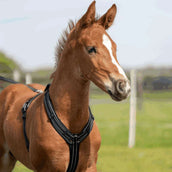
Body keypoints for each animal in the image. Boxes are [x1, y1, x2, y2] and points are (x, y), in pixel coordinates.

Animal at [0, 1, 130, 172]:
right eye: (91, 48)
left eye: (114, 48)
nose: (123, 86)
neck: (72, 123)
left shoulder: (89, 166)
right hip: (3, 158)